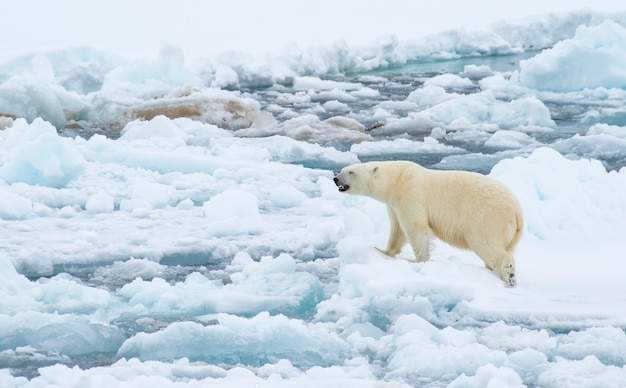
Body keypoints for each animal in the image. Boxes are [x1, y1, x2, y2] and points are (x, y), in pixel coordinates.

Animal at [332, 160, 520, 284]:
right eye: (342, 169)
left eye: (351, 172)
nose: (335, 179)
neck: (397, 178)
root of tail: (517, 211)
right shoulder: (394, 203)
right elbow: (397, 229)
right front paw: (383, 251)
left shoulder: (410, 193)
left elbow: (415, 227)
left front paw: (418, 261)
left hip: (487, 217)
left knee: (486, 243)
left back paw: (508, 273)